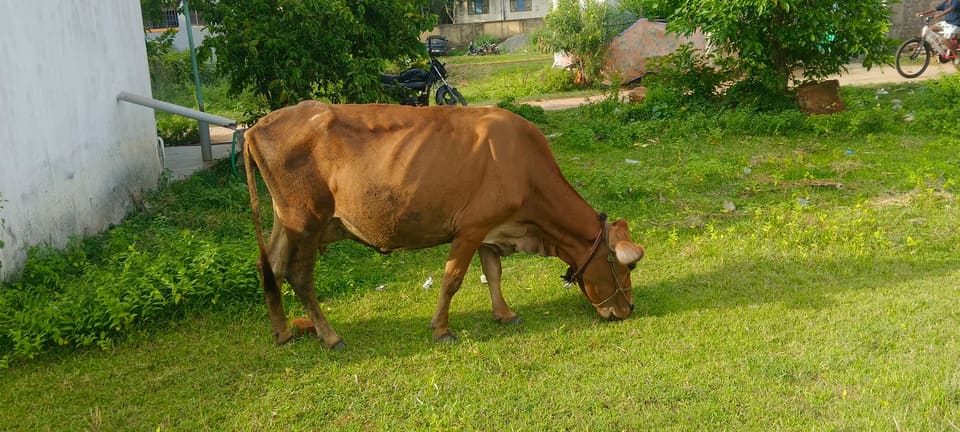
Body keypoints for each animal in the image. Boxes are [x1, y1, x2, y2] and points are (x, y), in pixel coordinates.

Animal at [242, 101, 645, 349]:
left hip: (285, 221)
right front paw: (441, 329)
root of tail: (256, 126)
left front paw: (505, 314)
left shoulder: (490, 228)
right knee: (299, 277)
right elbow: (453, 279)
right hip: (307, 220)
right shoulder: (470, 229)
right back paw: (330, 336)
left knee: (270, 266)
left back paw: (282, 331)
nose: (628, 310)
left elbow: (493, 273)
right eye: (627, 266)